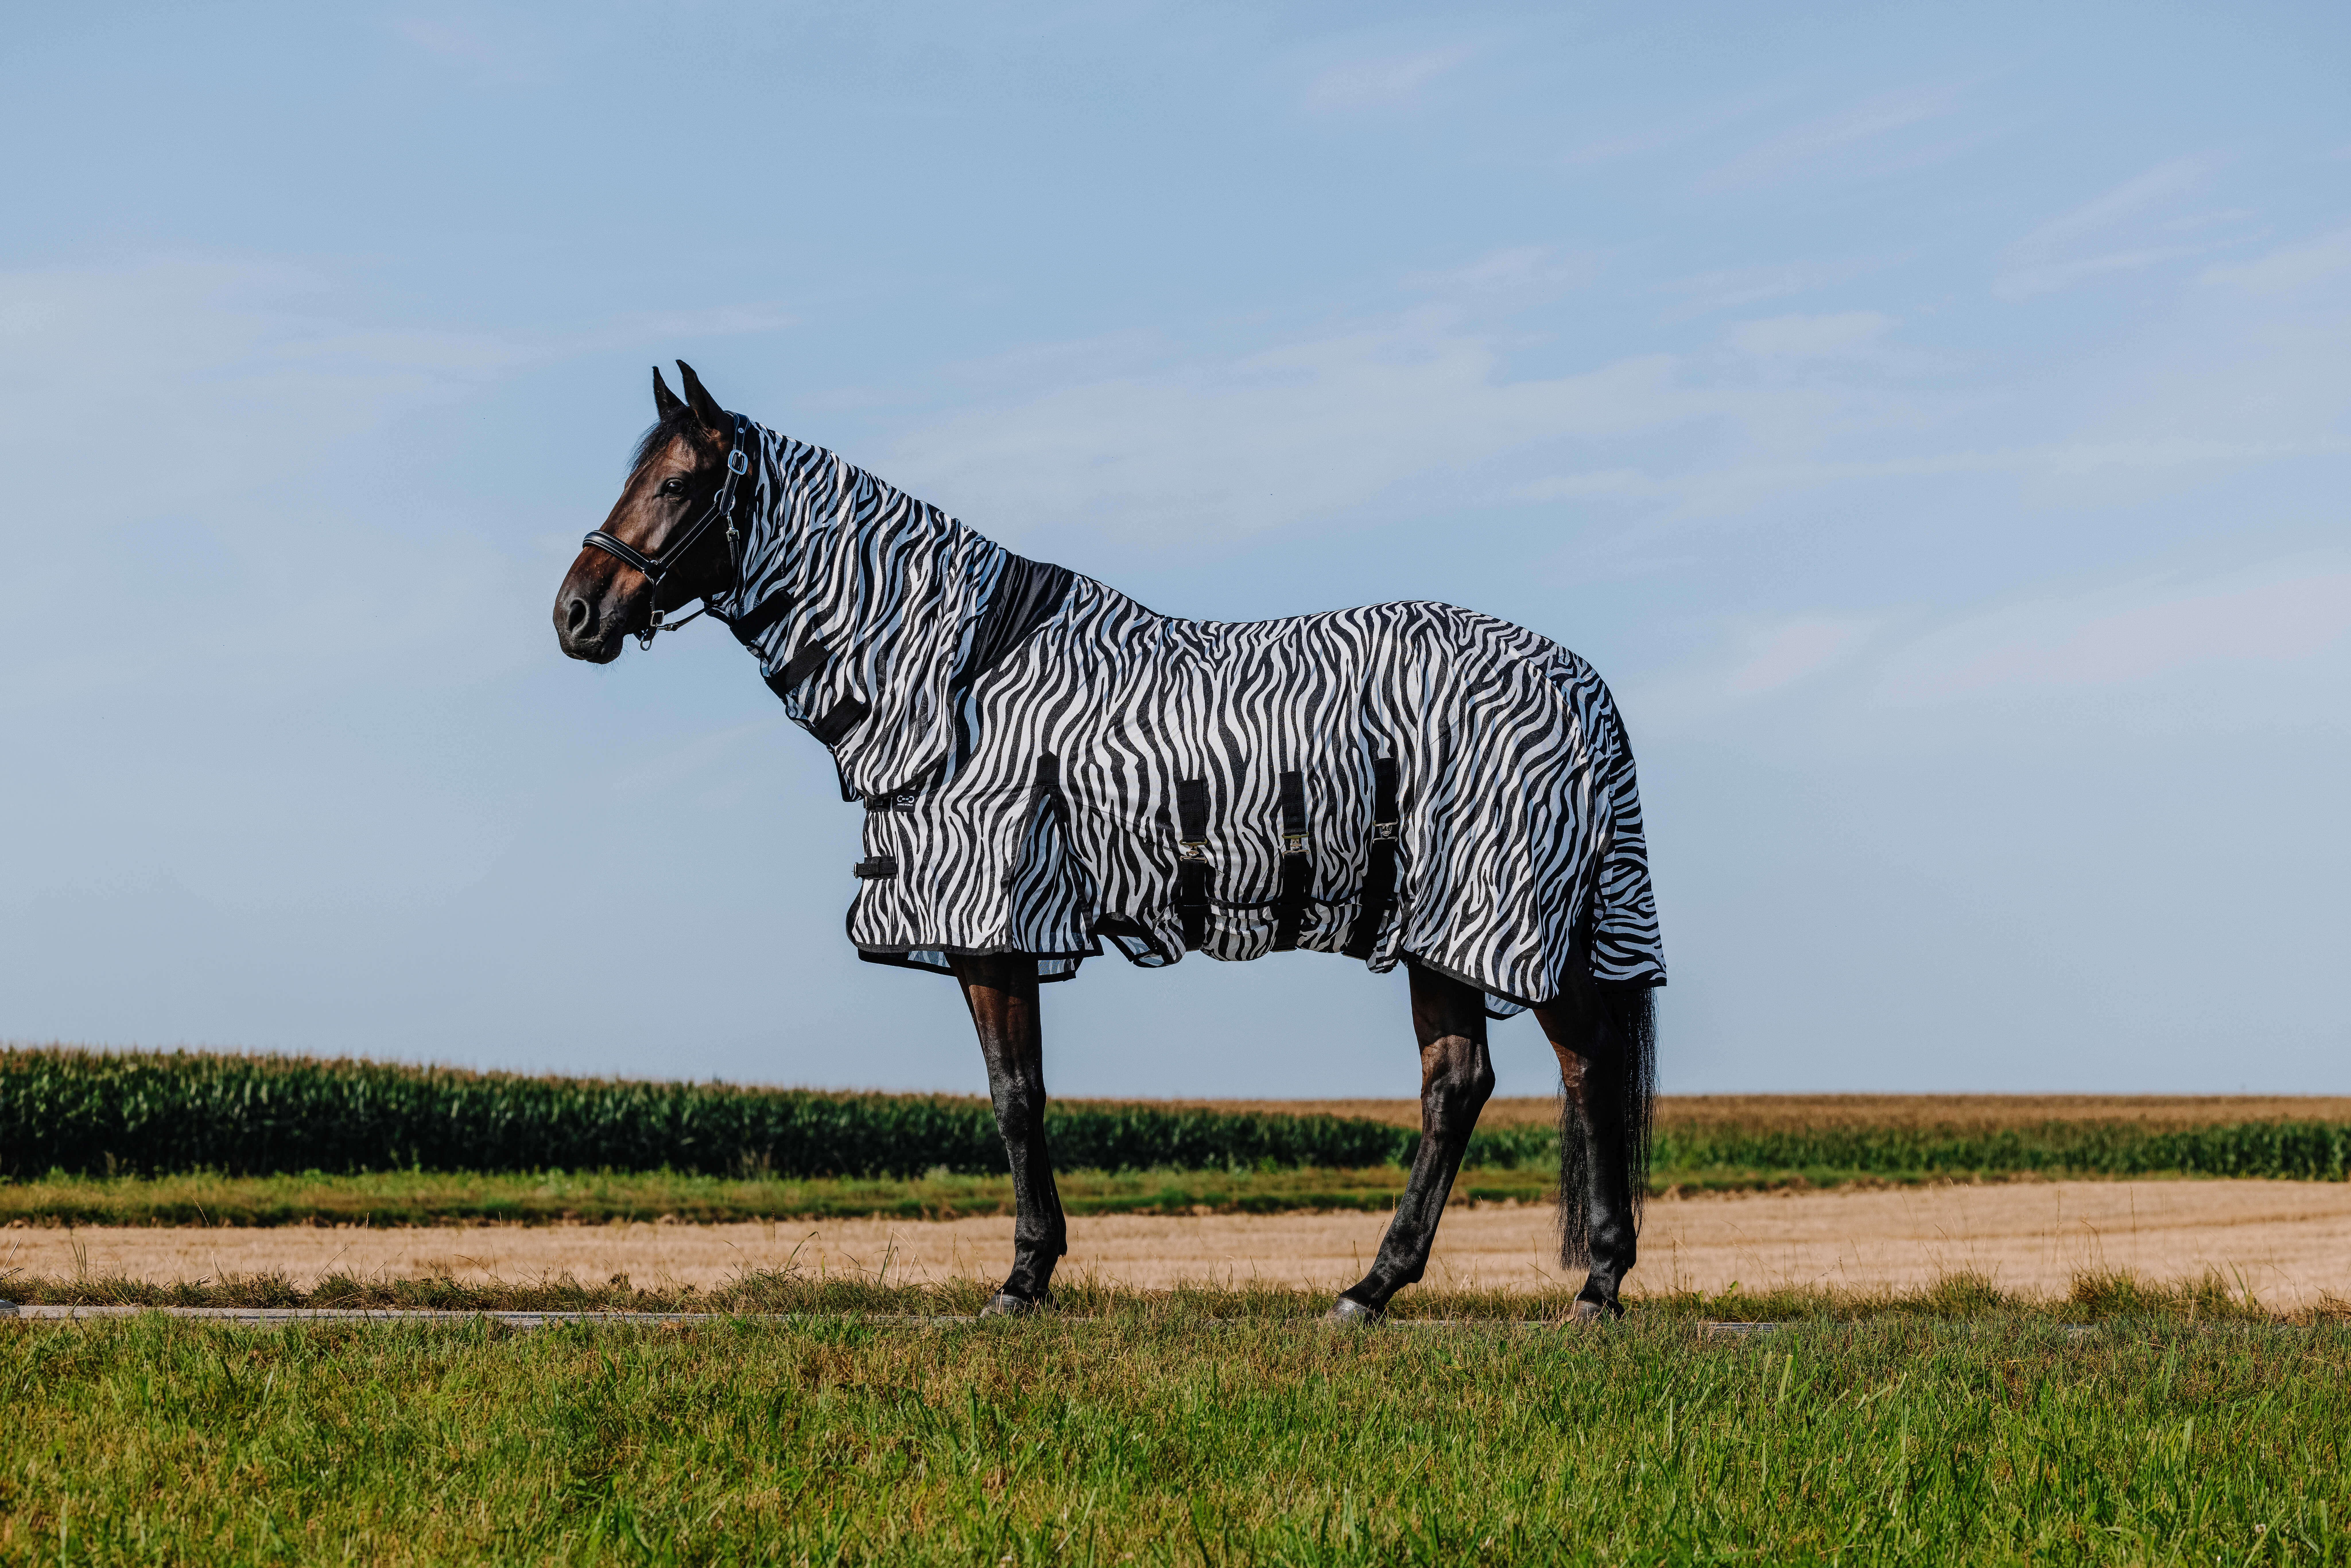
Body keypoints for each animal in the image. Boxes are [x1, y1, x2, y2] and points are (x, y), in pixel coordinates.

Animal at [555, 362, 1665, 1324]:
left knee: (1581, 1067)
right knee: (1459, 1085)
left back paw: (1592, 1287)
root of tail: (1579, 680)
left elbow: (1016, 1097)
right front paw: (1034, 1269)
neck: (959, 676)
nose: (576, 613)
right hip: (1438, 930)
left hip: (1496, 915)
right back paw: (1376, 1288)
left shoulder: (995, 924)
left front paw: (1023, 1278)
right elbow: (1023, 1093)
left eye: (677, 482)